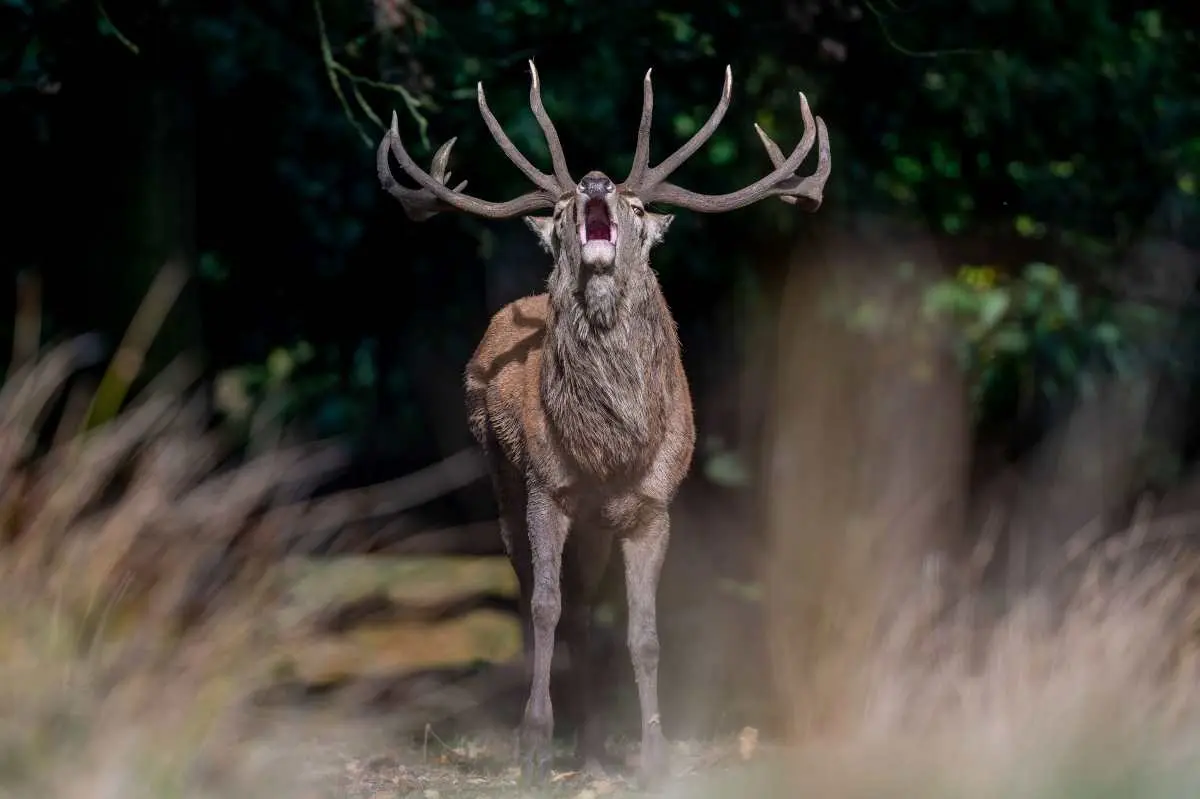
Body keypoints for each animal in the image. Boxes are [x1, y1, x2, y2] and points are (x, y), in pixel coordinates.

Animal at [375, 62, 830, 788]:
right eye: (561, 210)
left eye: (638, 208)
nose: (593, 182)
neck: (609, 449)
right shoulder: (546, 487)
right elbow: (543, 607)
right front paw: (535, 746)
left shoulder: (652, 504)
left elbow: (644, 633)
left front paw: (654, 754)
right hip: (502, 475)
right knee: (536, 593)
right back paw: (548, 738)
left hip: (594, 522)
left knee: (588, 606)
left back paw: (591, 747)